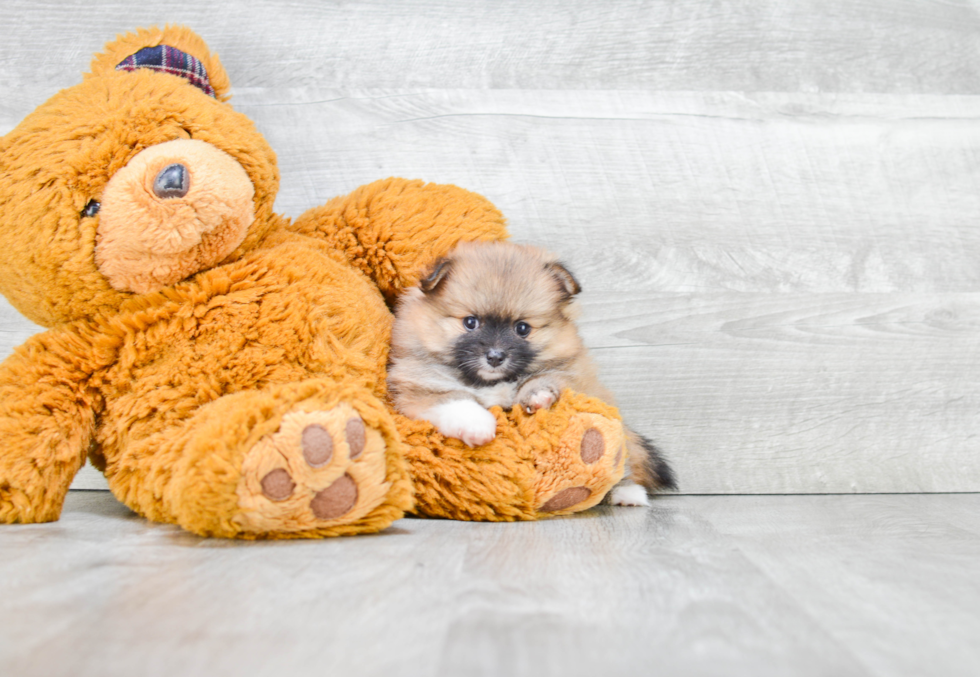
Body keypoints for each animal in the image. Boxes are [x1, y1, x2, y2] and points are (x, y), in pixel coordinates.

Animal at [386, 239, 676, 502]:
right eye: (470, 322)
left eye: (522, 328)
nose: (495, 356)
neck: (491, 383)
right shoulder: (419, 387)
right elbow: (457, 400)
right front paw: (479, 425)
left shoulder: (572, 373)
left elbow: (544, 378)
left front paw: (537, 395)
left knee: (622, 462)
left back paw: (627, 493)